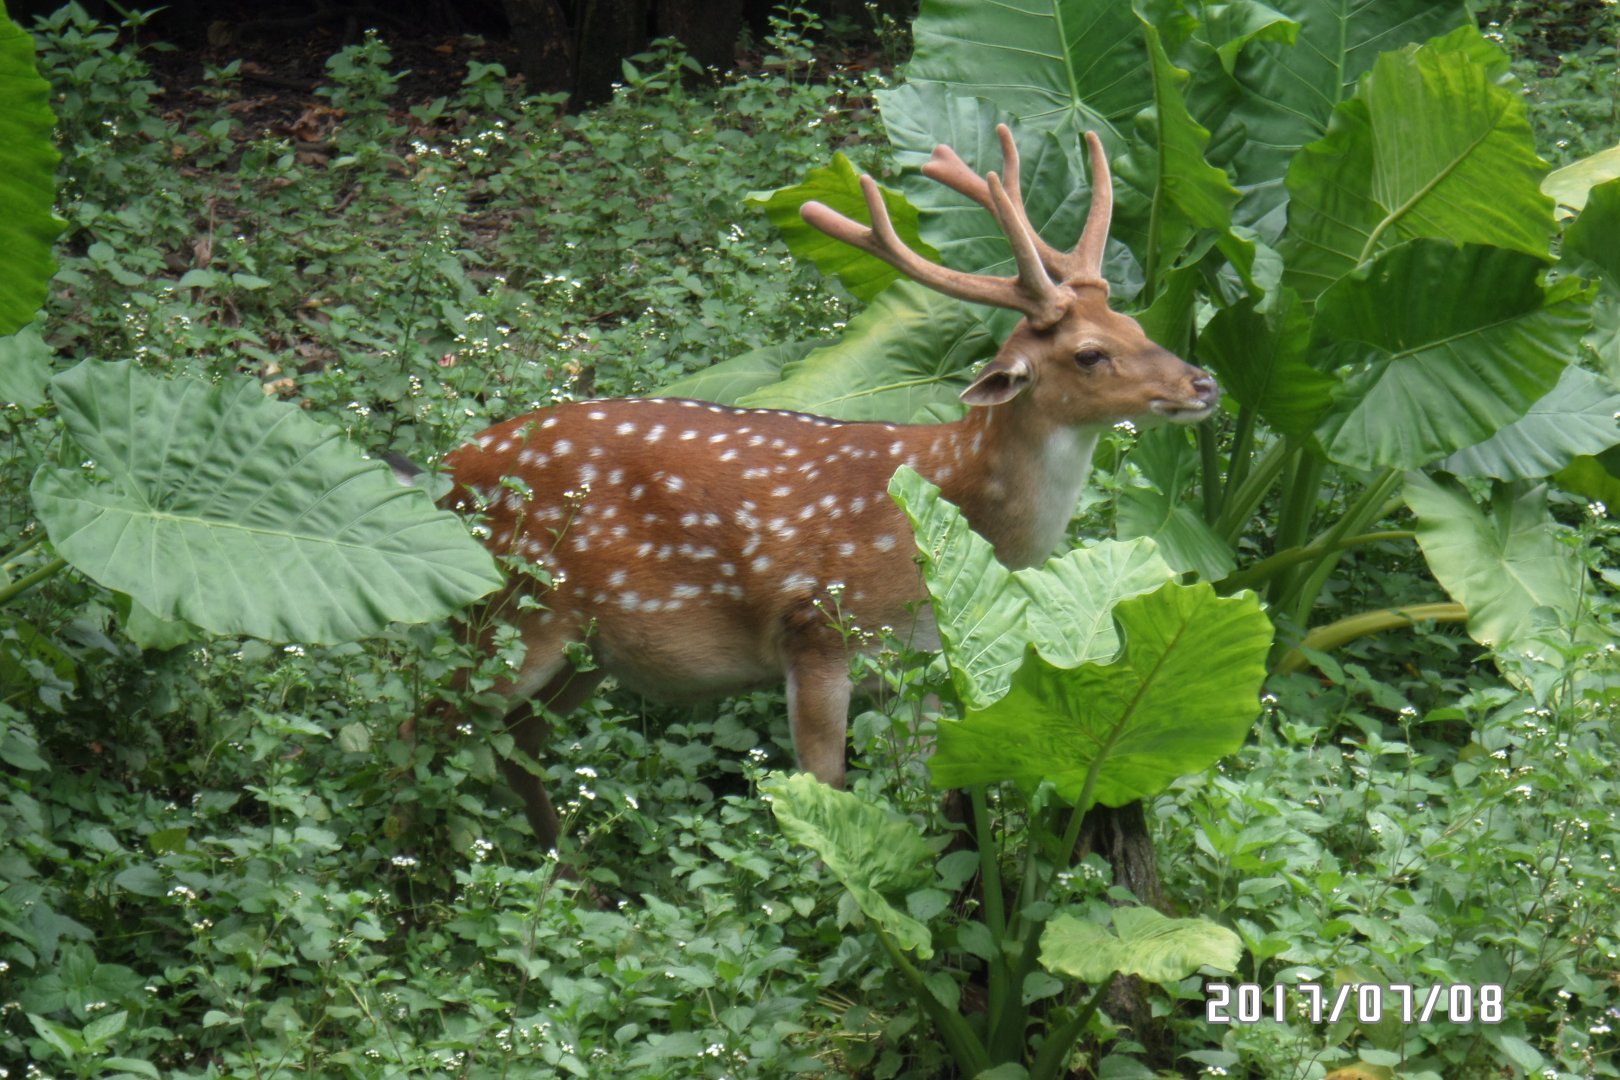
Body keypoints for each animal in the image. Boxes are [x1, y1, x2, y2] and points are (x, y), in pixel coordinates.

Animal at [430, 125, 1218, 852]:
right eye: (1089, 354)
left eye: (1135, 322)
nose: (1203, 383)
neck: (947, 503)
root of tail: (446, 473)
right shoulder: (813, 630)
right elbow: (824, 788)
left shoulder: (925, 663)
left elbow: (933, 796)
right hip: (503, 616)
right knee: (430, 729)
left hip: (585, 652)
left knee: (515, 746)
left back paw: (562, 868)